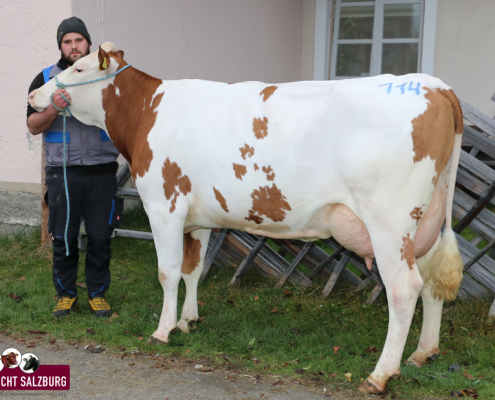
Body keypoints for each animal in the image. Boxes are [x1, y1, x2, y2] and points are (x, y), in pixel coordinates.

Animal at [29, 43, 466, 394]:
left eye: (79, 68)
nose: (34, 93)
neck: (146, 111)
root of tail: (436, 86)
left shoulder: (164, 204)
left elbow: (168, 272)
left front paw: (162, 331)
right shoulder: (198, 218)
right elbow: (192, 269)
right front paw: (188, 321)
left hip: (390, 221)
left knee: (404, 289)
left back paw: (380, 374)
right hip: (426, 220)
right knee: (431, 283)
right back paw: (423, 353)